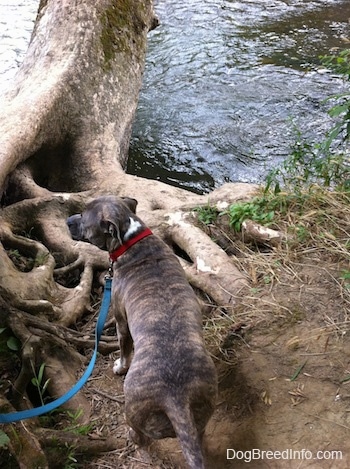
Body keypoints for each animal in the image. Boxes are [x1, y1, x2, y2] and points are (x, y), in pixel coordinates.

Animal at [67, 196, 217, 466]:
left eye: (83, 217)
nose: (67, 220)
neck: (131, 238)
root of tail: (176, 398)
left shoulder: (120, 319)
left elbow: (124, 348)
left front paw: (119, 366)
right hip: (202, 411)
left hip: (133, 407)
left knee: (139, 435)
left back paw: (131, 435)